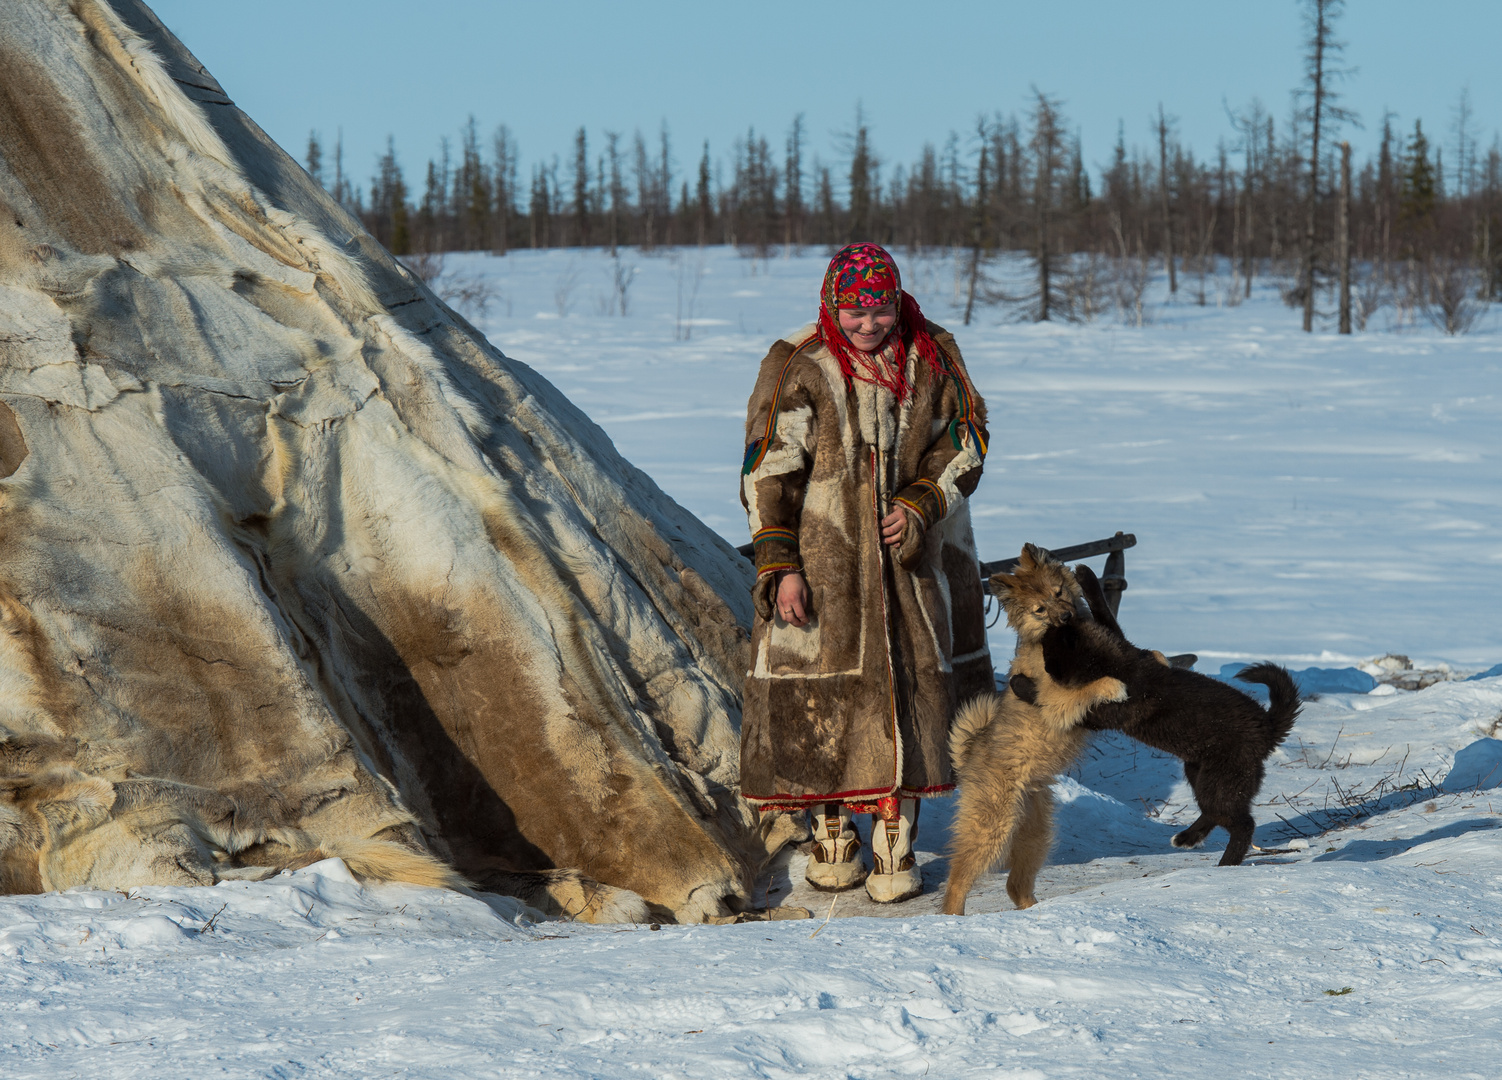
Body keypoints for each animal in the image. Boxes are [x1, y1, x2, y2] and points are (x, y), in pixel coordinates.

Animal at [937, 543, 1129, 919]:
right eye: (1040, 609)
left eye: (1058, 592)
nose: (1066, 616)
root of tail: (969, 757)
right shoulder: (1051, 697)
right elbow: (1084, 689)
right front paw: (1111, 685)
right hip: (992, 827)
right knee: (957, 878)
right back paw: (953, 918)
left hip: (1035, 833)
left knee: (1015, 884)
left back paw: (1036, 910)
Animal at [1015, 564, 1297, 871]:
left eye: (1048, 653)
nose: (1046, 668)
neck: (1117, 665)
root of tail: (1268, 727)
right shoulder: (1125, 644)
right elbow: (1105, 611)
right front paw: (1086, 574)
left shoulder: (1103, 713)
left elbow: (1057, 701)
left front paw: (1021, 685)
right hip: (1199, 772)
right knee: (1216, 812)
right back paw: (1187, 838)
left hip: (1221, 781)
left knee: (1242, 823)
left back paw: (1226, 863)